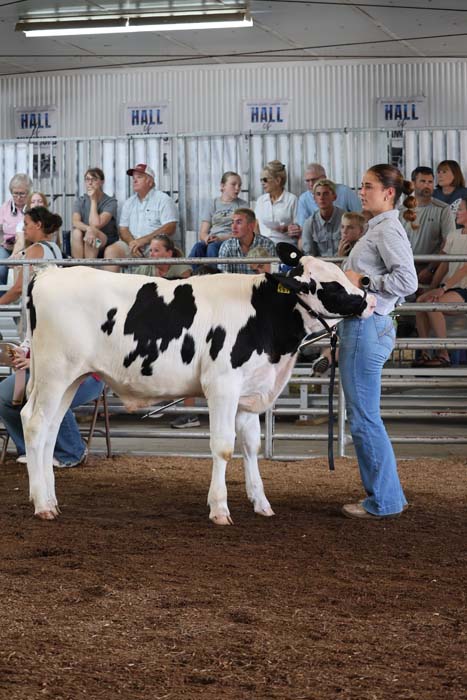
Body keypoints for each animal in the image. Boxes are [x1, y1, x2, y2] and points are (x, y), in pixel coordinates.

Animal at [22, 243, 376, 523]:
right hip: (56, 373)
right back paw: (41, 505)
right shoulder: (222, 385)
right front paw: (219, 508)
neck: (262, 316)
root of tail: (48, 275)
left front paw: (261, 503)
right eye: (332, 286)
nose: (369, 298)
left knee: (48, 427)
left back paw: (50, 498)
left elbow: (251, 446)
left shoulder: (248, 393)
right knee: (37, 424)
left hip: (71, 378)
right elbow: (223, 446)